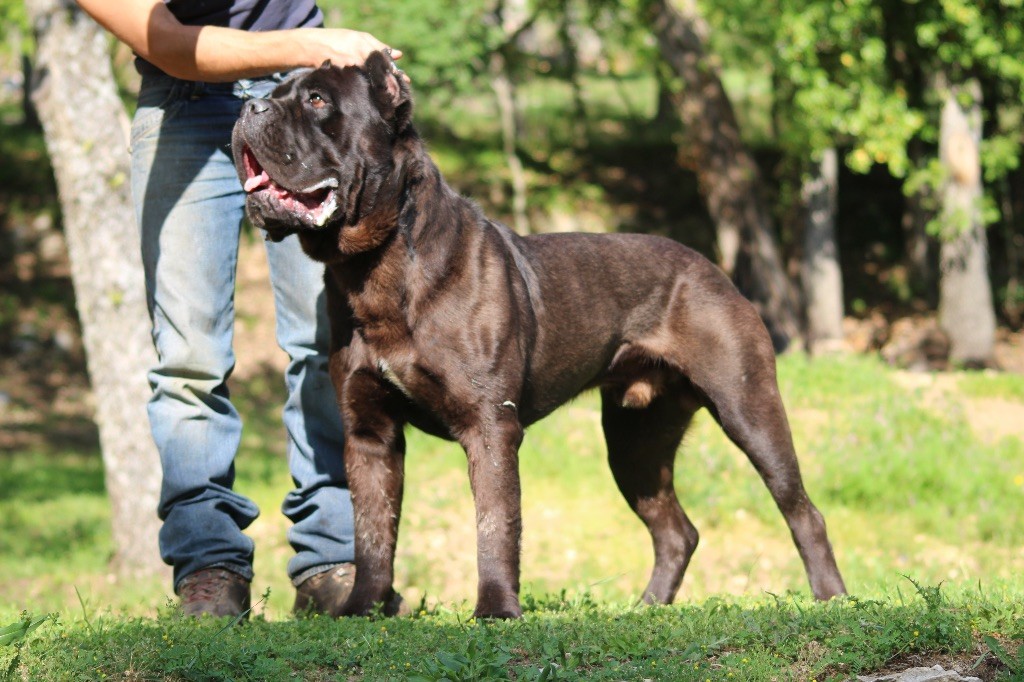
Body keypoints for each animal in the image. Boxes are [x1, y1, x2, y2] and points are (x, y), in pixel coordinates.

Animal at [232, 51, 847, 618]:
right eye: (273, 92)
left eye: (317, 101)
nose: (249, 107)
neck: (375, 269)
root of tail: (715, 269)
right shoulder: (370, 433)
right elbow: (373, 532)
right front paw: (363, 609)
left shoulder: (490, 427)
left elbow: (495, 524)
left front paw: (496, 611)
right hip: (635, 440)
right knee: (676, 530)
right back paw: (646, 609)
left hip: (747, 408)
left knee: (802, 508)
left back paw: (832, 599)